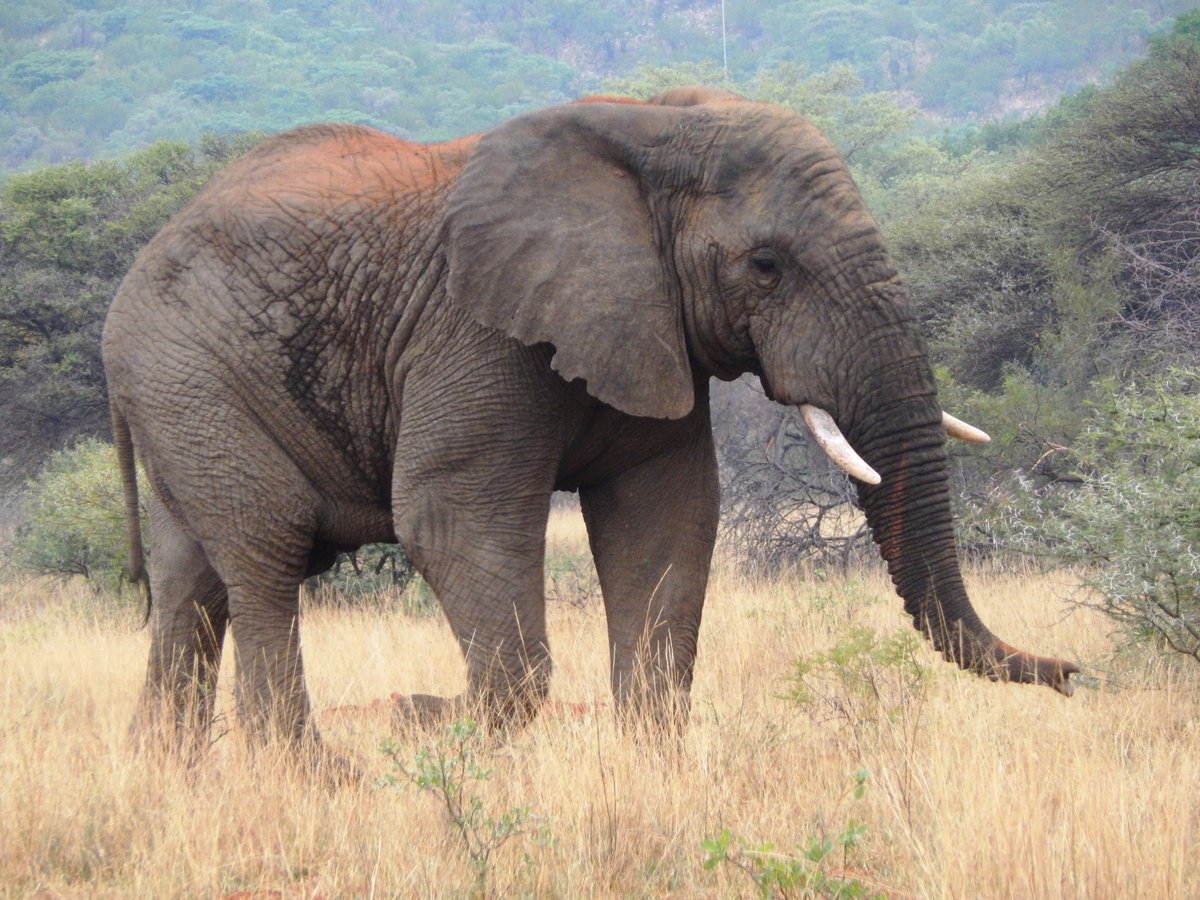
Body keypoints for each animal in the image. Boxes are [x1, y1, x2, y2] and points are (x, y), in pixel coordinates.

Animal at [102, 86, 1078, 753]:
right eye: (766, 266)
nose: (1074, 672)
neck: (647, 128)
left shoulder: (652, 328)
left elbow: (665, 519)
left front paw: (649, 766)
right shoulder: (475, 330)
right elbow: (448, 517)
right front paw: (429, 720)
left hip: (180, 394)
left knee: (193, 581)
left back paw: (171, 772)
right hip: (188, 372)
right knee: (266, 547)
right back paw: (314, 773)